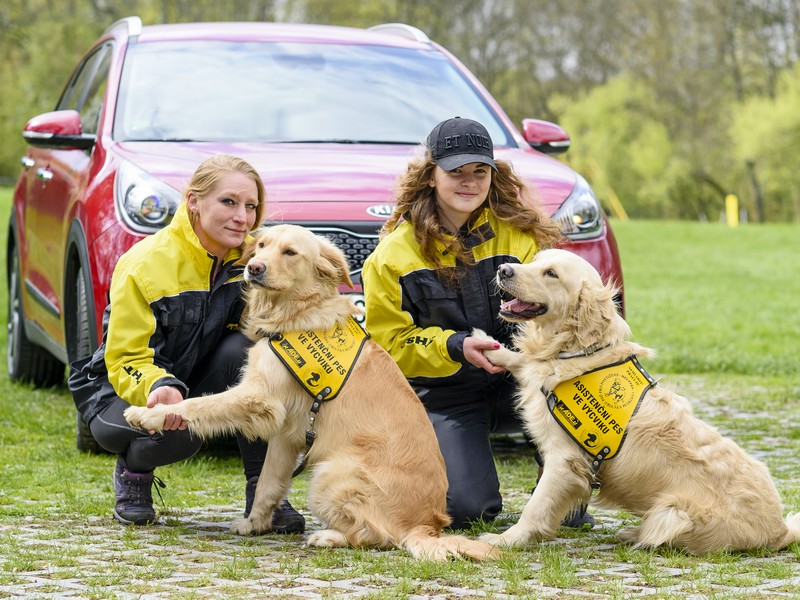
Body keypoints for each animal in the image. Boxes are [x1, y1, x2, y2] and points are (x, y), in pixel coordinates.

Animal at [125, 225, 496, 564]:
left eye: (290, 252)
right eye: (261, 245)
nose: (254, 267)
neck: (295, 312)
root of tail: (426, 524)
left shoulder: (258, 396)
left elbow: (197, 405)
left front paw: (147, 414)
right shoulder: (287, 434)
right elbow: (268, 483)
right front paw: (255, 523)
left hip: (330, 473)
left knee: (378, 536)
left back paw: (328, 537)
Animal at [476, 247, 800, 552]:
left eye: (551, 273)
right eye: (534, 261)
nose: (503, 270)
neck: (578, 349)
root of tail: (778, 530)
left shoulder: (564, 459)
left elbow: (536, 506)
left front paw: (504, 539)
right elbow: (522, 360)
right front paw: (487, 346)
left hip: (673, 513)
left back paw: (634, 534)